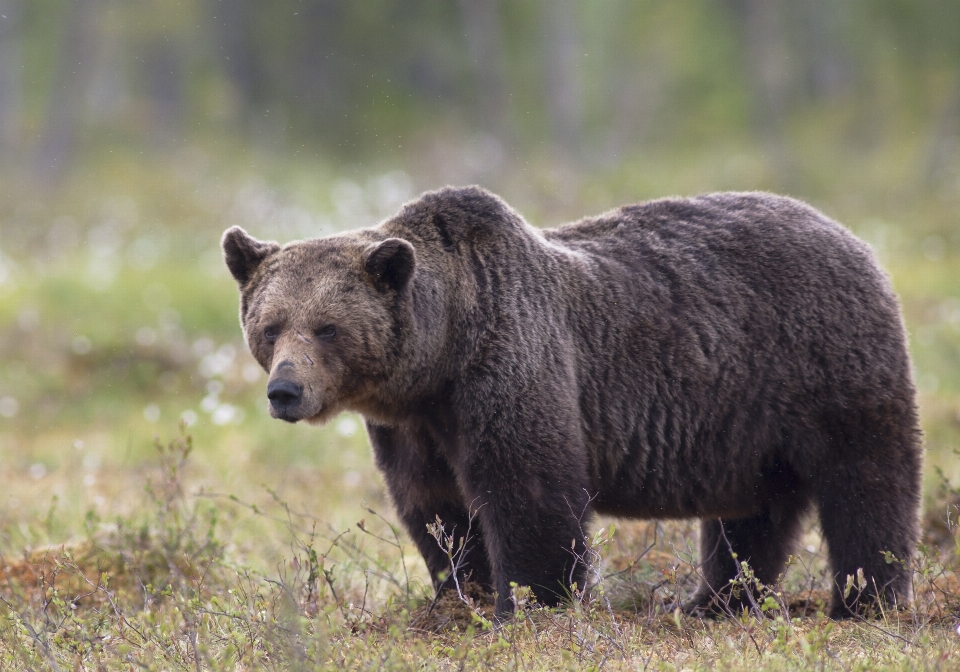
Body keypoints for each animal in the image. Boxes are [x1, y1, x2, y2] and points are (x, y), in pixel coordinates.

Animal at [223, 186, 924, 616]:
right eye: (270, 325)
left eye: (327, 328)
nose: (285, 390)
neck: (440, 356)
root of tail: (851, 235)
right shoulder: (415, 427)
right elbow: (437, 508)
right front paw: (460, 595)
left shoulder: (511, 365)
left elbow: (530, 493)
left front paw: (532, 604)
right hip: (747, 422)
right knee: (754, 512)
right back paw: (713, 601)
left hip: (826, 365)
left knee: (866, 484)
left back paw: (864, 599)